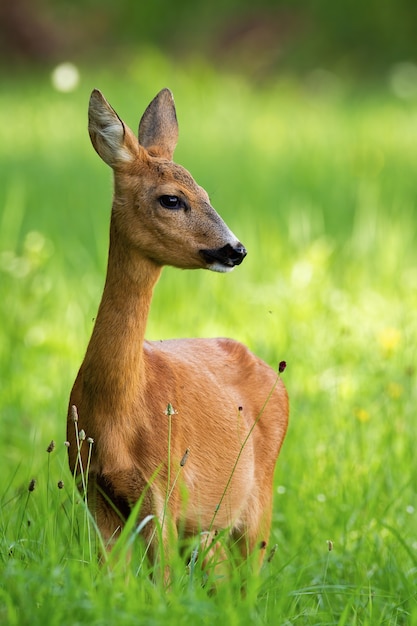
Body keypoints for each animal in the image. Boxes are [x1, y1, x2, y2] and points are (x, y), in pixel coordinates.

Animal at [67, 88, 290, 572]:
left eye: (204, 192)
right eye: (172, 199)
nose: (236, 249)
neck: (120, 412)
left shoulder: (165, 488)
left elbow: (165, 581)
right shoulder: (92, 488)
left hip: (259, 495)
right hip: (205, 525)